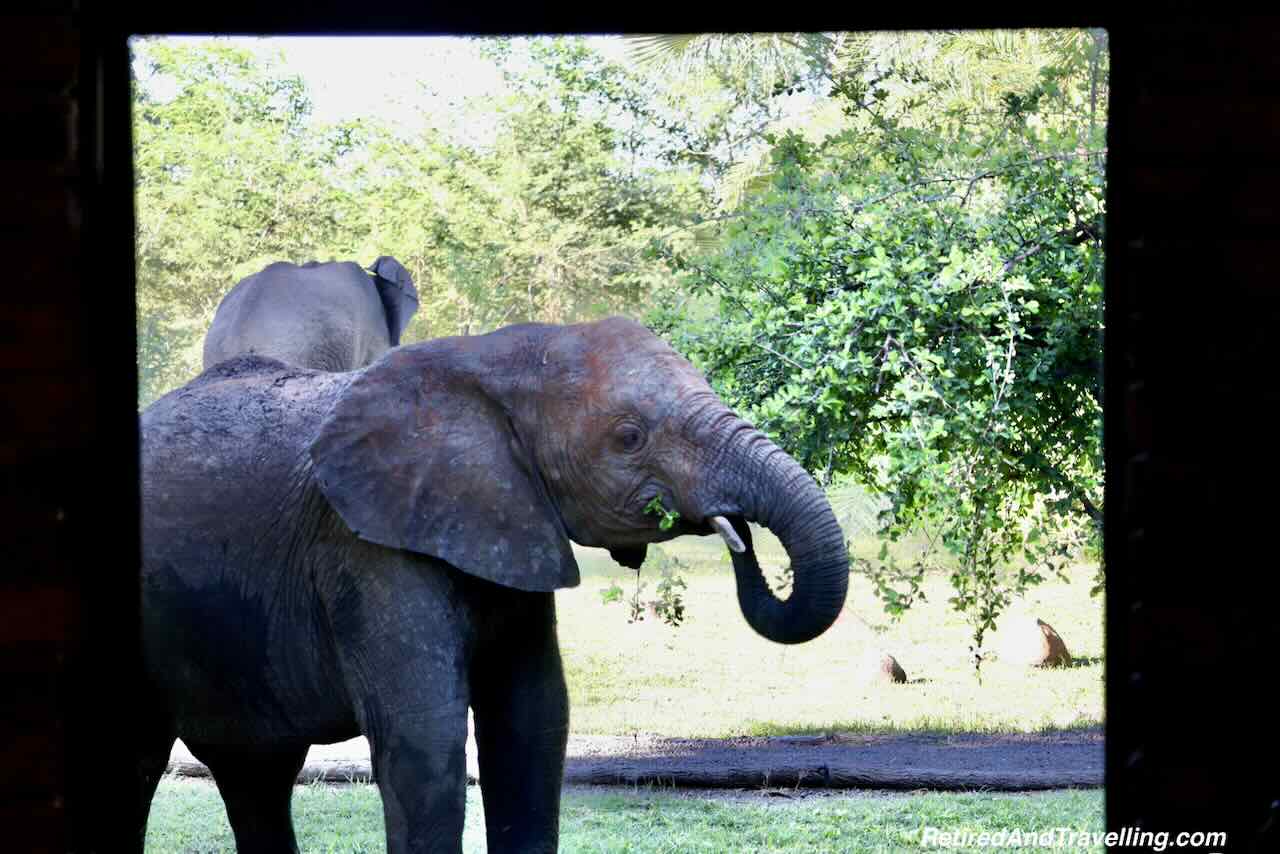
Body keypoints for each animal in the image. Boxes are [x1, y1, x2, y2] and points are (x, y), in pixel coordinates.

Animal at [135, 318, 849, 854]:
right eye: (629, 437)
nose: (736, 532)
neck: (489, 363)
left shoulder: (510, 526)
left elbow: (532, 722)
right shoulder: (366, 549)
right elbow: (425, 738)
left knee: (256, 773)